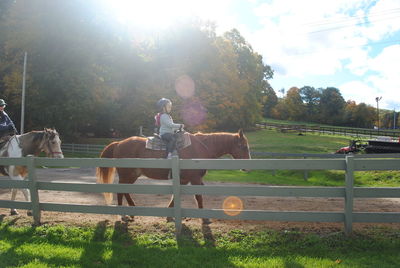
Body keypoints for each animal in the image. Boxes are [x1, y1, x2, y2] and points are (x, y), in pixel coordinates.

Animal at [96, 129, 250, 222]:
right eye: (243, 146)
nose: (247, 166)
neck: (199, 148)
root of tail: (118, 143)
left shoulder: (184, 179)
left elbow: (175, 197)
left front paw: (169, 215)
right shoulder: (195, 179)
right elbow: (198, 197)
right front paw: (205, 219)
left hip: (132, 175)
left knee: (126, 191)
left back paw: (133, 210)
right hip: (126, 174)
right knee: (120, 191)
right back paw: (123, 215)